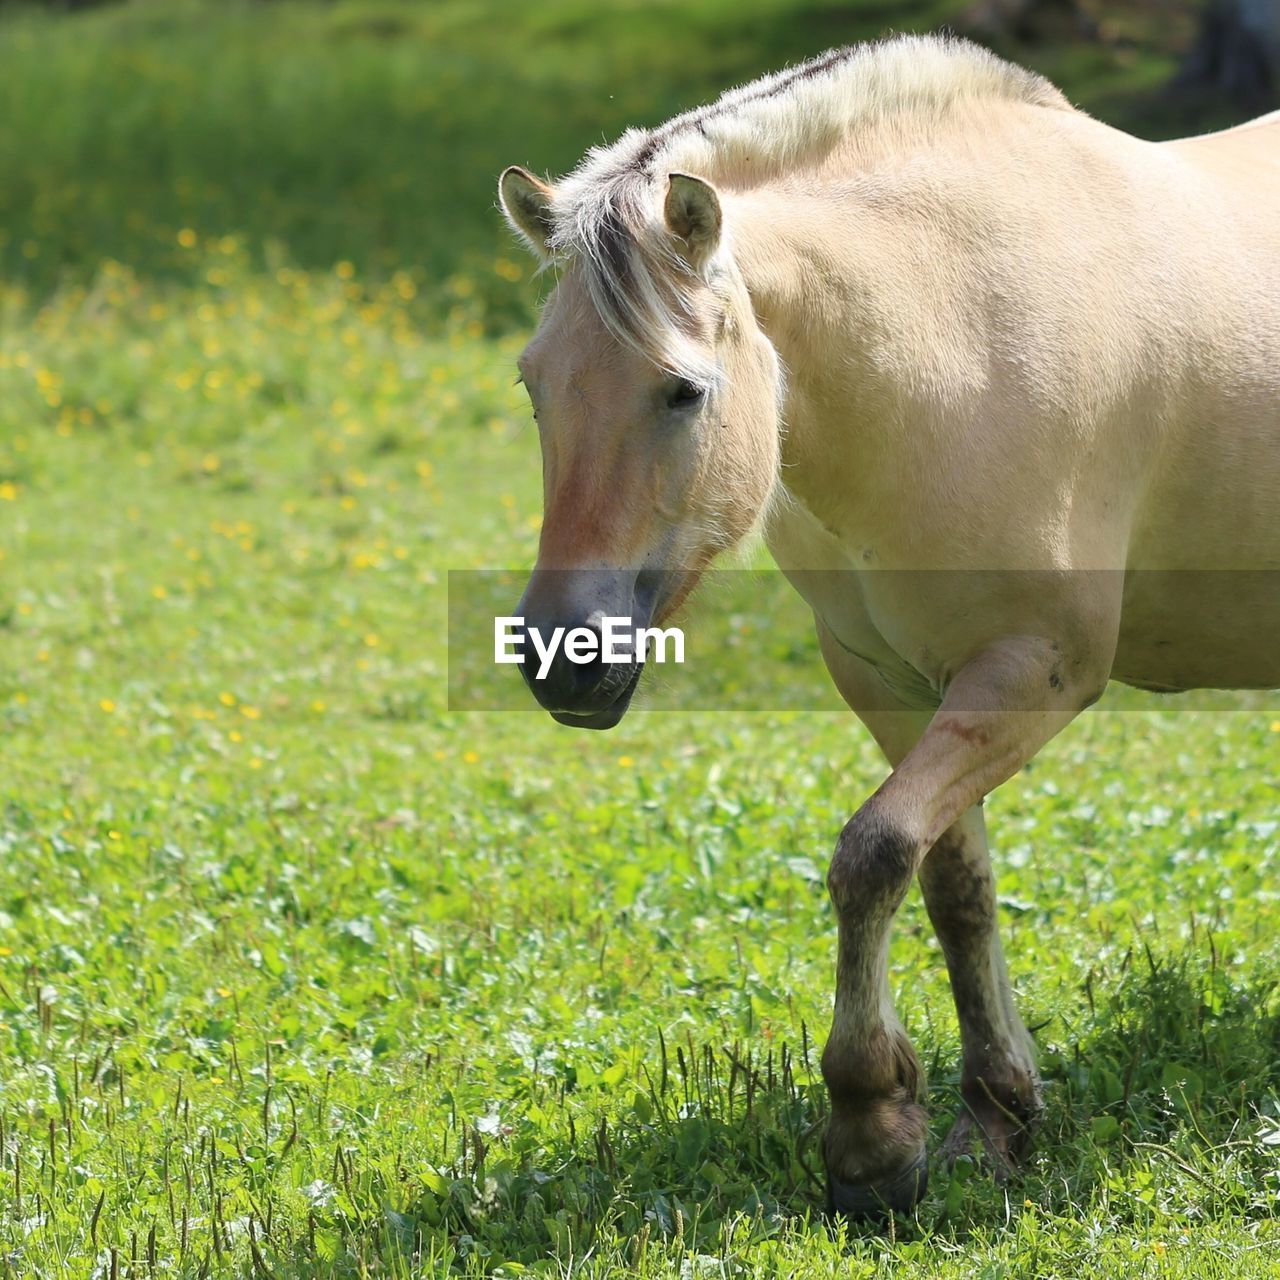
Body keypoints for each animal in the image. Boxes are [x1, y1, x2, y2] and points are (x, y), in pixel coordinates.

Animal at [494, 35, 1280, 1218]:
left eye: (681, 392)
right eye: (535, 387)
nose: (562, 659)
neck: (951, 330)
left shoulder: (1033, 672)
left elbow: (869, 855)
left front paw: (869, 1127)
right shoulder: (890, 682)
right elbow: (950, 882)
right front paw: (993, 1116)